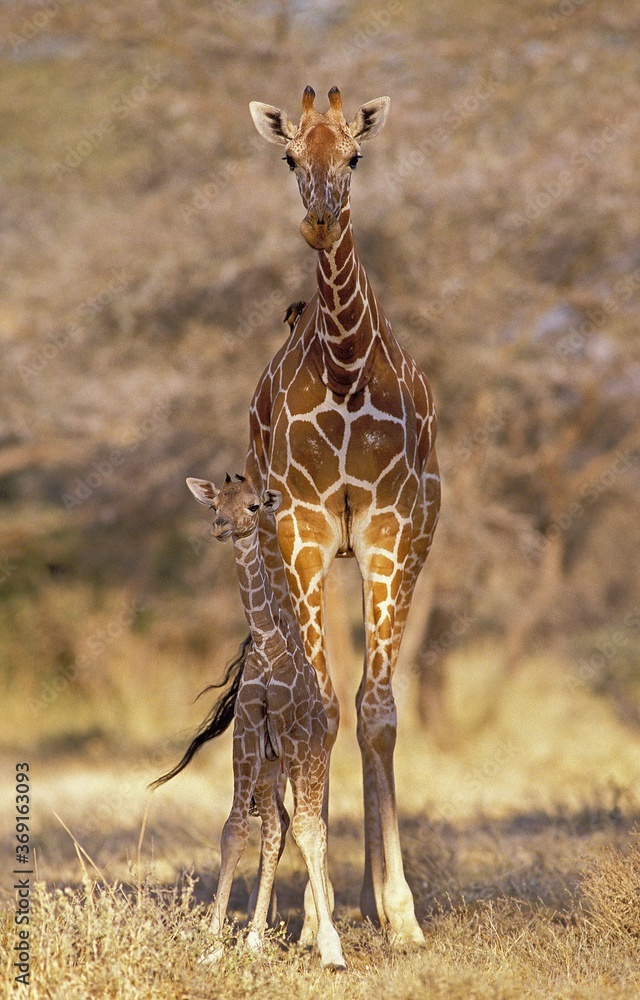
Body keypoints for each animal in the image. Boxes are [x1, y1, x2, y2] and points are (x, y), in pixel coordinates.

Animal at [185, 472, 344, 972]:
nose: (221, 526)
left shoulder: (293, 738)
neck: (269, 642)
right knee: (277, 826)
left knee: (312, 826)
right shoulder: (248, 736)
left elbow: (310, 831)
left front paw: (331, 950)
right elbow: (235, 830)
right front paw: (213, 944)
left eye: (254, 506)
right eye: (215, 503)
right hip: (269, 767)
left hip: (311, 756)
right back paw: (255, 938)